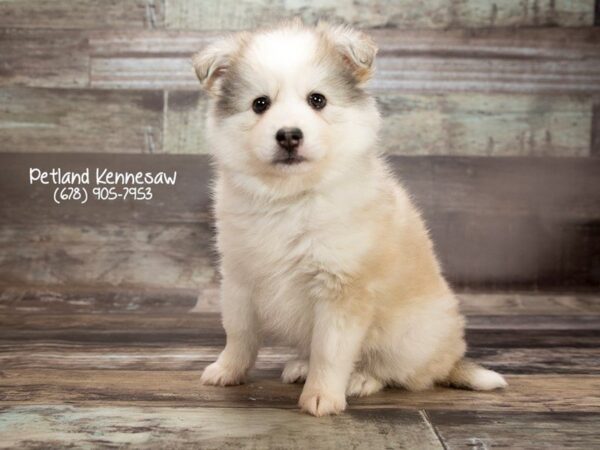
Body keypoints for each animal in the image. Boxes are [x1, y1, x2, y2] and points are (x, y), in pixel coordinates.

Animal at [193, 20, 506, 414]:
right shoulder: (239, 278)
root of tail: (451, 359)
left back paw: (360, 380)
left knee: (399, 372)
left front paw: (322, 397)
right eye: (259, 104)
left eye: (318, 100)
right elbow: (239, 334)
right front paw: (227, 370)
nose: (289, 136)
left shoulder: (342, 289)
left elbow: (330, 351)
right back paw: (300, 365)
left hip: (406, 335)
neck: (291, 196)